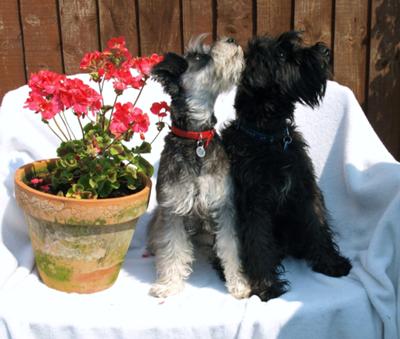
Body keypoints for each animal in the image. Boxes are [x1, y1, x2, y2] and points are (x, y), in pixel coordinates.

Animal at [147, 35, 250, 298]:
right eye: (198, 57)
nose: (231, 39)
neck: (196, 138)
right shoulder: (172, 208)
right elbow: (172, 248)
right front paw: (169, 284)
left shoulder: (223, 205)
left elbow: (231, 248)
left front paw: (239, 284)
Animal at [223, 31, 352, 302]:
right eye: (281, 53)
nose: (324, 50)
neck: (269, 138)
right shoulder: (254, 204)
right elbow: (258, 243)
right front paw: (266, 285)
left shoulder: (304, 190)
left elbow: (317, 226)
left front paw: (331, 263)